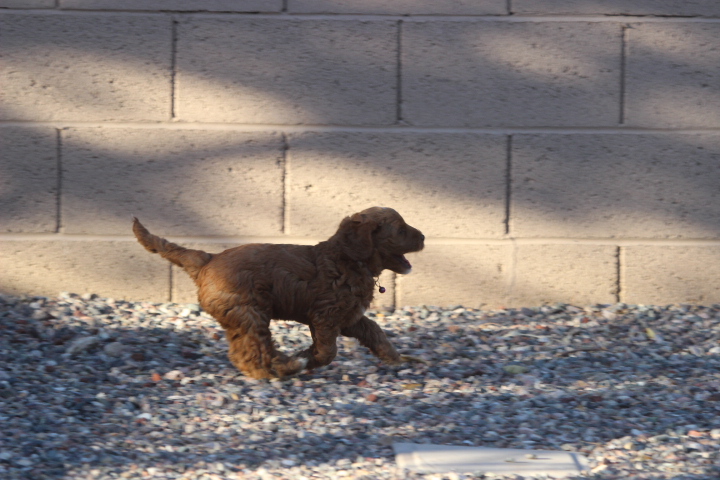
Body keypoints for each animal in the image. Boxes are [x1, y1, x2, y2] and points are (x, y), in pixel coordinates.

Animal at [132, 207, 425, 379]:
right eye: (401, 230)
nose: (423, 237)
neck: (350, 258)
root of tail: (208, 260)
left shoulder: (350, 317)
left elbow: (375, 331)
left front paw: (397, 357)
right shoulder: (326, 316)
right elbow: (328, 351)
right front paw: (309, 358)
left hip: (243, 315)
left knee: (246, 349)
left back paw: (281, 364)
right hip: (249, 312)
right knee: (252, 351)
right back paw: (284, 367)